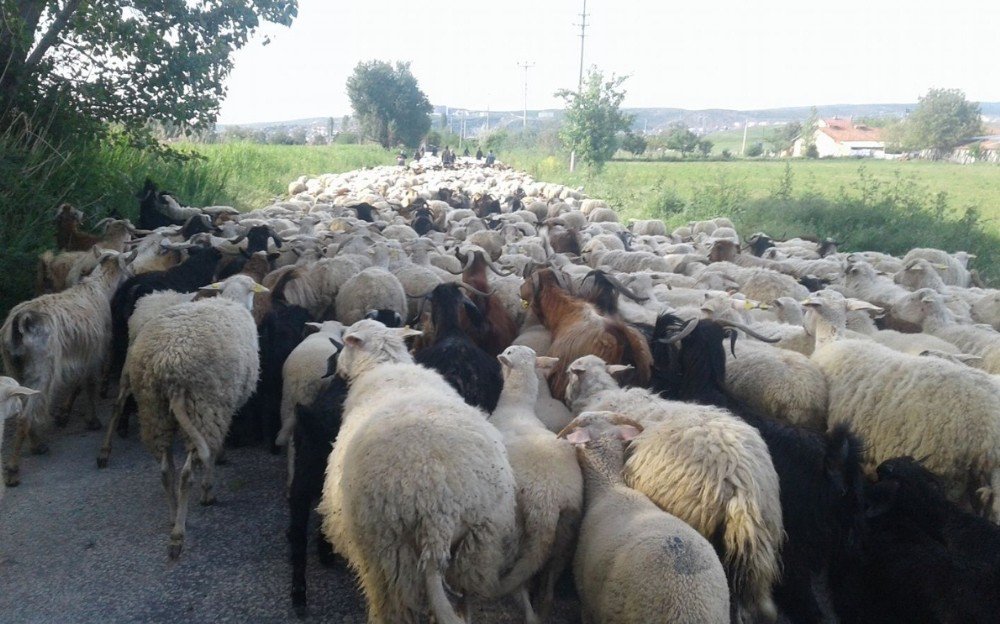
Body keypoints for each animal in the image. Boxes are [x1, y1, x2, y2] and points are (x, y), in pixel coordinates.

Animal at [128, 276, 266, 560]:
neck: (231, 300)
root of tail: (167, 364)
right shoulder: (222, 408)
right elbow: (214, 451)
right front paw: (208, 489)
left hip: (153, 410)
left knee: (165, 470)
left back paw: (173, 517)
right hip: (202, 407)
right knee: (185, 474)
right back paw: (179, 533)